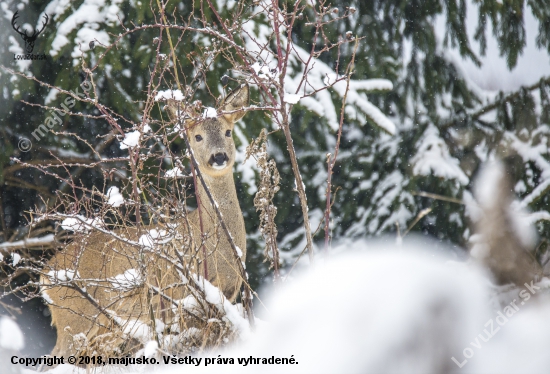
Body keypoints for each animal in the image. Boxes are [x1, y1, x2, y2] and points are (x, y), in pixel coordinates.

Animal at [41, 83, 252, 358]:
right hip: (75, 316)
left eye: (228, 132)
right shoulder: (186, 299)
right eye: (197, 137)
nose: (218, 157)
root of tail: (45, 276)